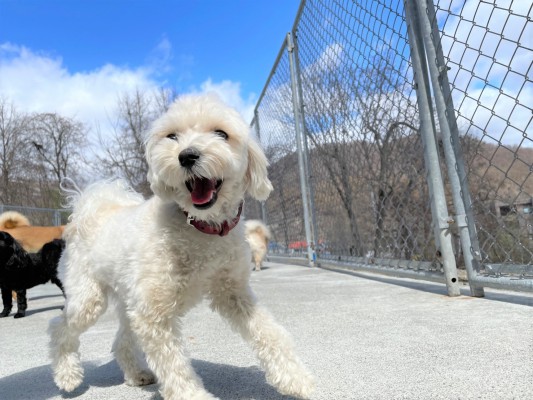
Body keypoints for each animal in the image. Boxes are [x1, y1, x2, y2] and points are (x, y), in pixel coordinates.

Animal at [48, 94, 314, 400]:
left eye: (221, 133)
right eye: (172, 136)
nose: (187, 156)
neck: (199, 227)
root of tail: (91, 209)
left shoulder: (233, 292)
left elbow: (270, 331)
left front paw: (296, 378)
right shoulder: (153, 314)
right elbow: (173, 364)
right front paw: (192, 395)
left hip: (129, 300)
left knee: (121, 341)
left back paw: (136, 374)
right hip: (89, 298)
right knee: (59, 327)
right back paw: (67, 376)